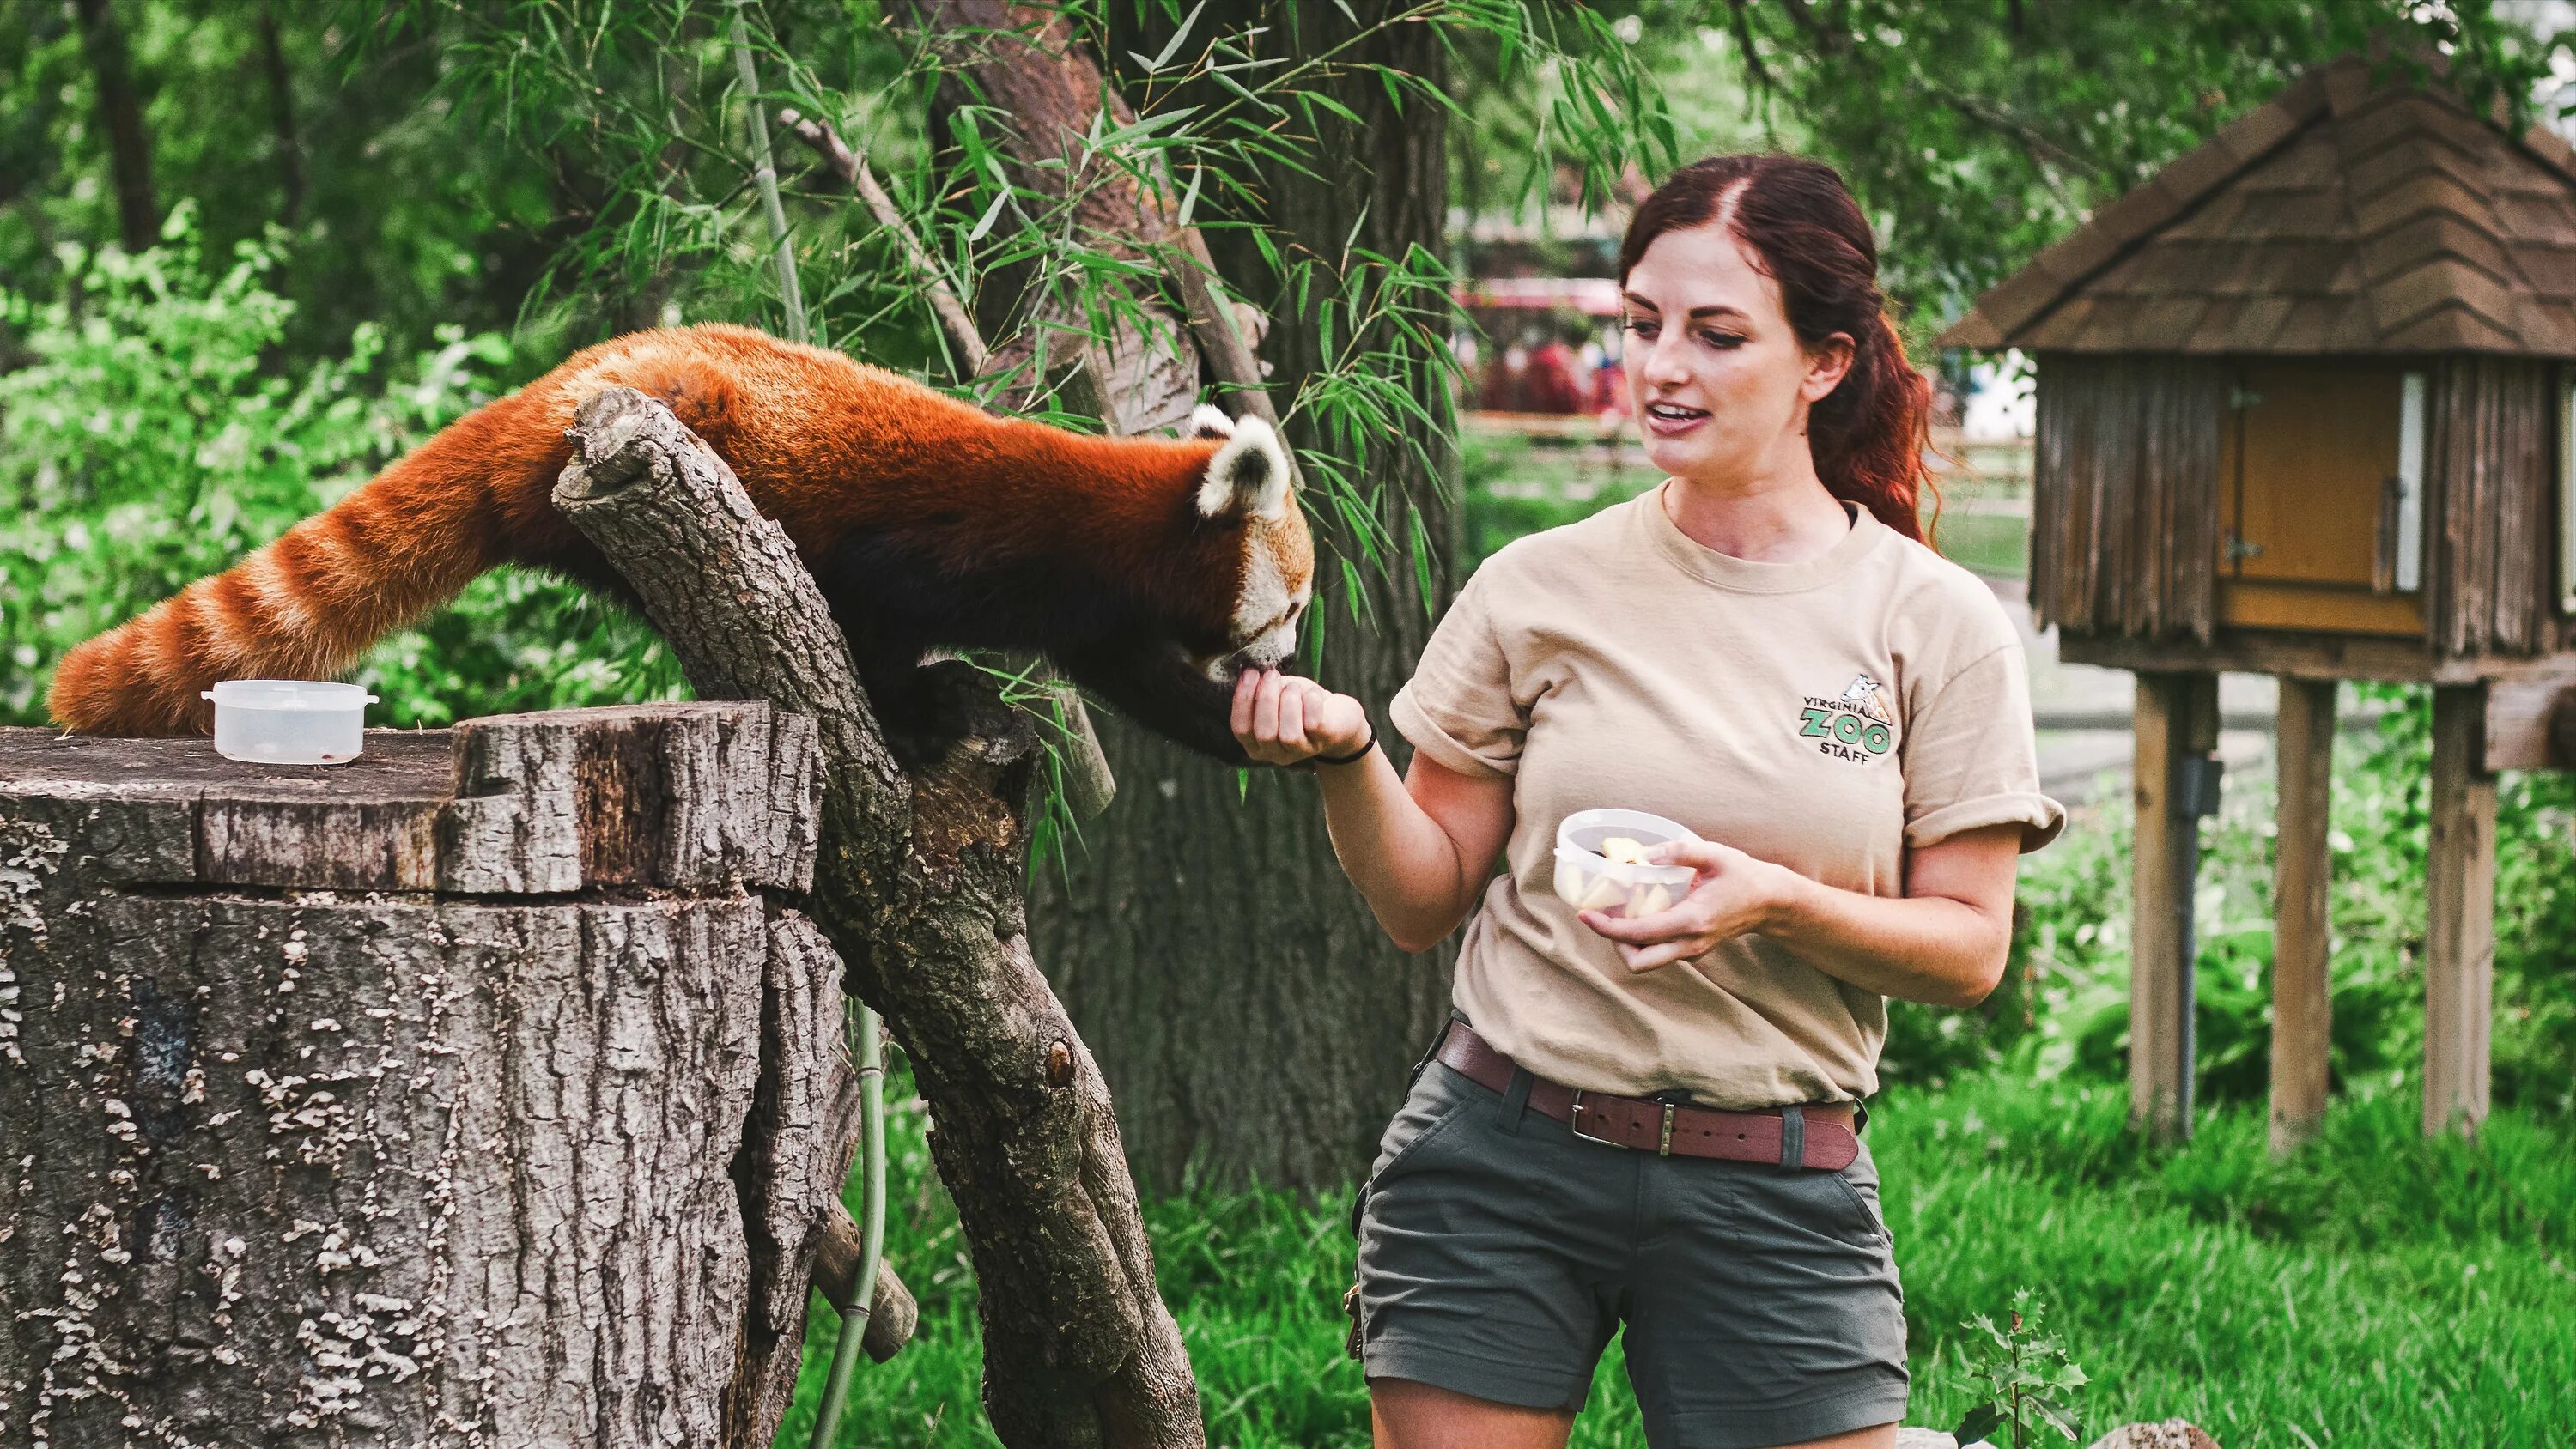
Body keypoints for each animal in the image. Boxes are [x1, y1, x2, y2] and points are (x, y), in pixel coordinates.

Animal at [45, 323, 1309, 767]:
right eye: (1291, 607)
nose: (1287, 660)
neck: (1103, 531)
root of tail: (552, 387)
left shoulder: (1099, 616)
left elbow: (1145, 683)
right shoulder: (953, 548)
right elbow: (875, 622)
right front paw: (919, 714)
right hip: (651, 448)